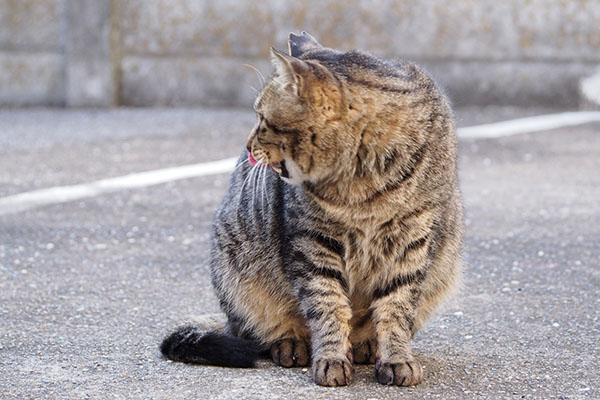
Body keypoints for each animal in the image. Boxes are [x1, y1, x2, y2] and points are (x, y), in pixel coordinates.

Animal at [158, 31, 460, 388]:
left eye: (261, 118)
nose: (247, 146)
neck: (362, 181)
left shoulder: (411, 242)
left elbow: (397, 309)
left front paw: (397, 358)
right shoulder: (312, 242)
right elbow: (327, 305)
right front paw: (331, 358)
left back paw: (366, 344)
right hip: (237, 271)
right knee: (259, 329)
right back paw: (291, 343)